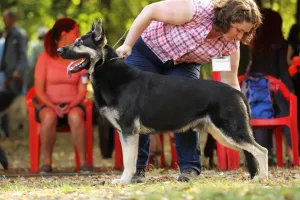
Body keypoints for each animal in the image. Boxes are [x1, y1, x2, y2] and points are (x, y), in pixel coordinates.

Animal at [57, 19, 268, 184]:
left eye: (78, 43)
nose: (58, 50)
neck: (107, 68)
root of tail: (236, 92)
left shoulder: (129, 131)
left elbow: (128, 161)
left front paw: (124, 181)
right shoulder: (126, 134)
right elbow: (130, 159)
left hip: (231, 133)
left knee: (262, 151)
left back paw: (263, 178)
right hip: (224, 136)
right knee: (252, 151)